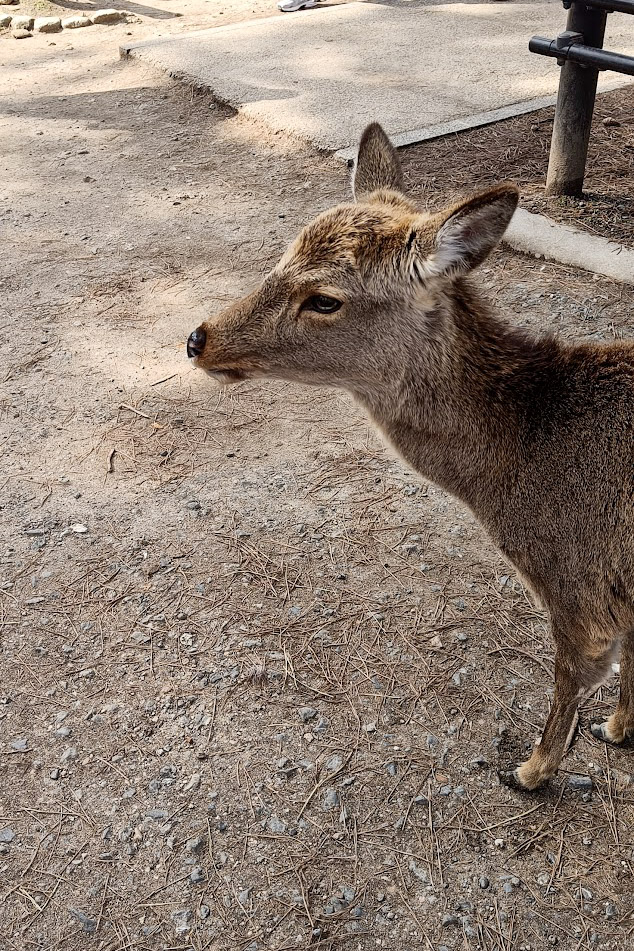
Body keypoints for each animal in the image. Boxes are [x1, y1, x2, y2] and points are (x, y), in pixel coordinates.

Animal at [186, 123, 634, 791]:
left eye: (325, 299)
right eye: (282, 256)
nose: (198, 338)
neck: (527, 457)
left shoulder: (579, 583)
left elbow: (574, 673)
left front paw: (530, 770)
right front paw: (620, 727)